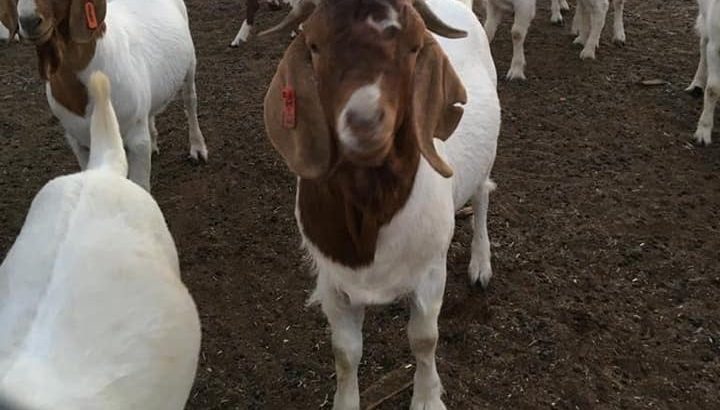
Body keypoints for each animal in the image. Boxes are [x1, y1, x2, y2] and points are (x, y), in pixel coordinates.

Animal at [0, 0, 208, 191]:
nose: (28, 21)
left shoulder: (136, 139)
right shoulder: (79, 143)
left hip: (190, 64)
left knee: (190, 101)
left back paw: (198, 149)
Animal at [263, 0, 500, 408]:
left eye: (414, 46)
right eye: (314, 45)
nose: (364, 123)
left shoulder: (430, 272)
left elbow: (424, 340)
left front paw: (426, 398)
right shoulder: (334, 284)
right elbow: (345, 352)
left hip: (487, 157)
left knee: (482, 196)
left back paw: (480, 264)